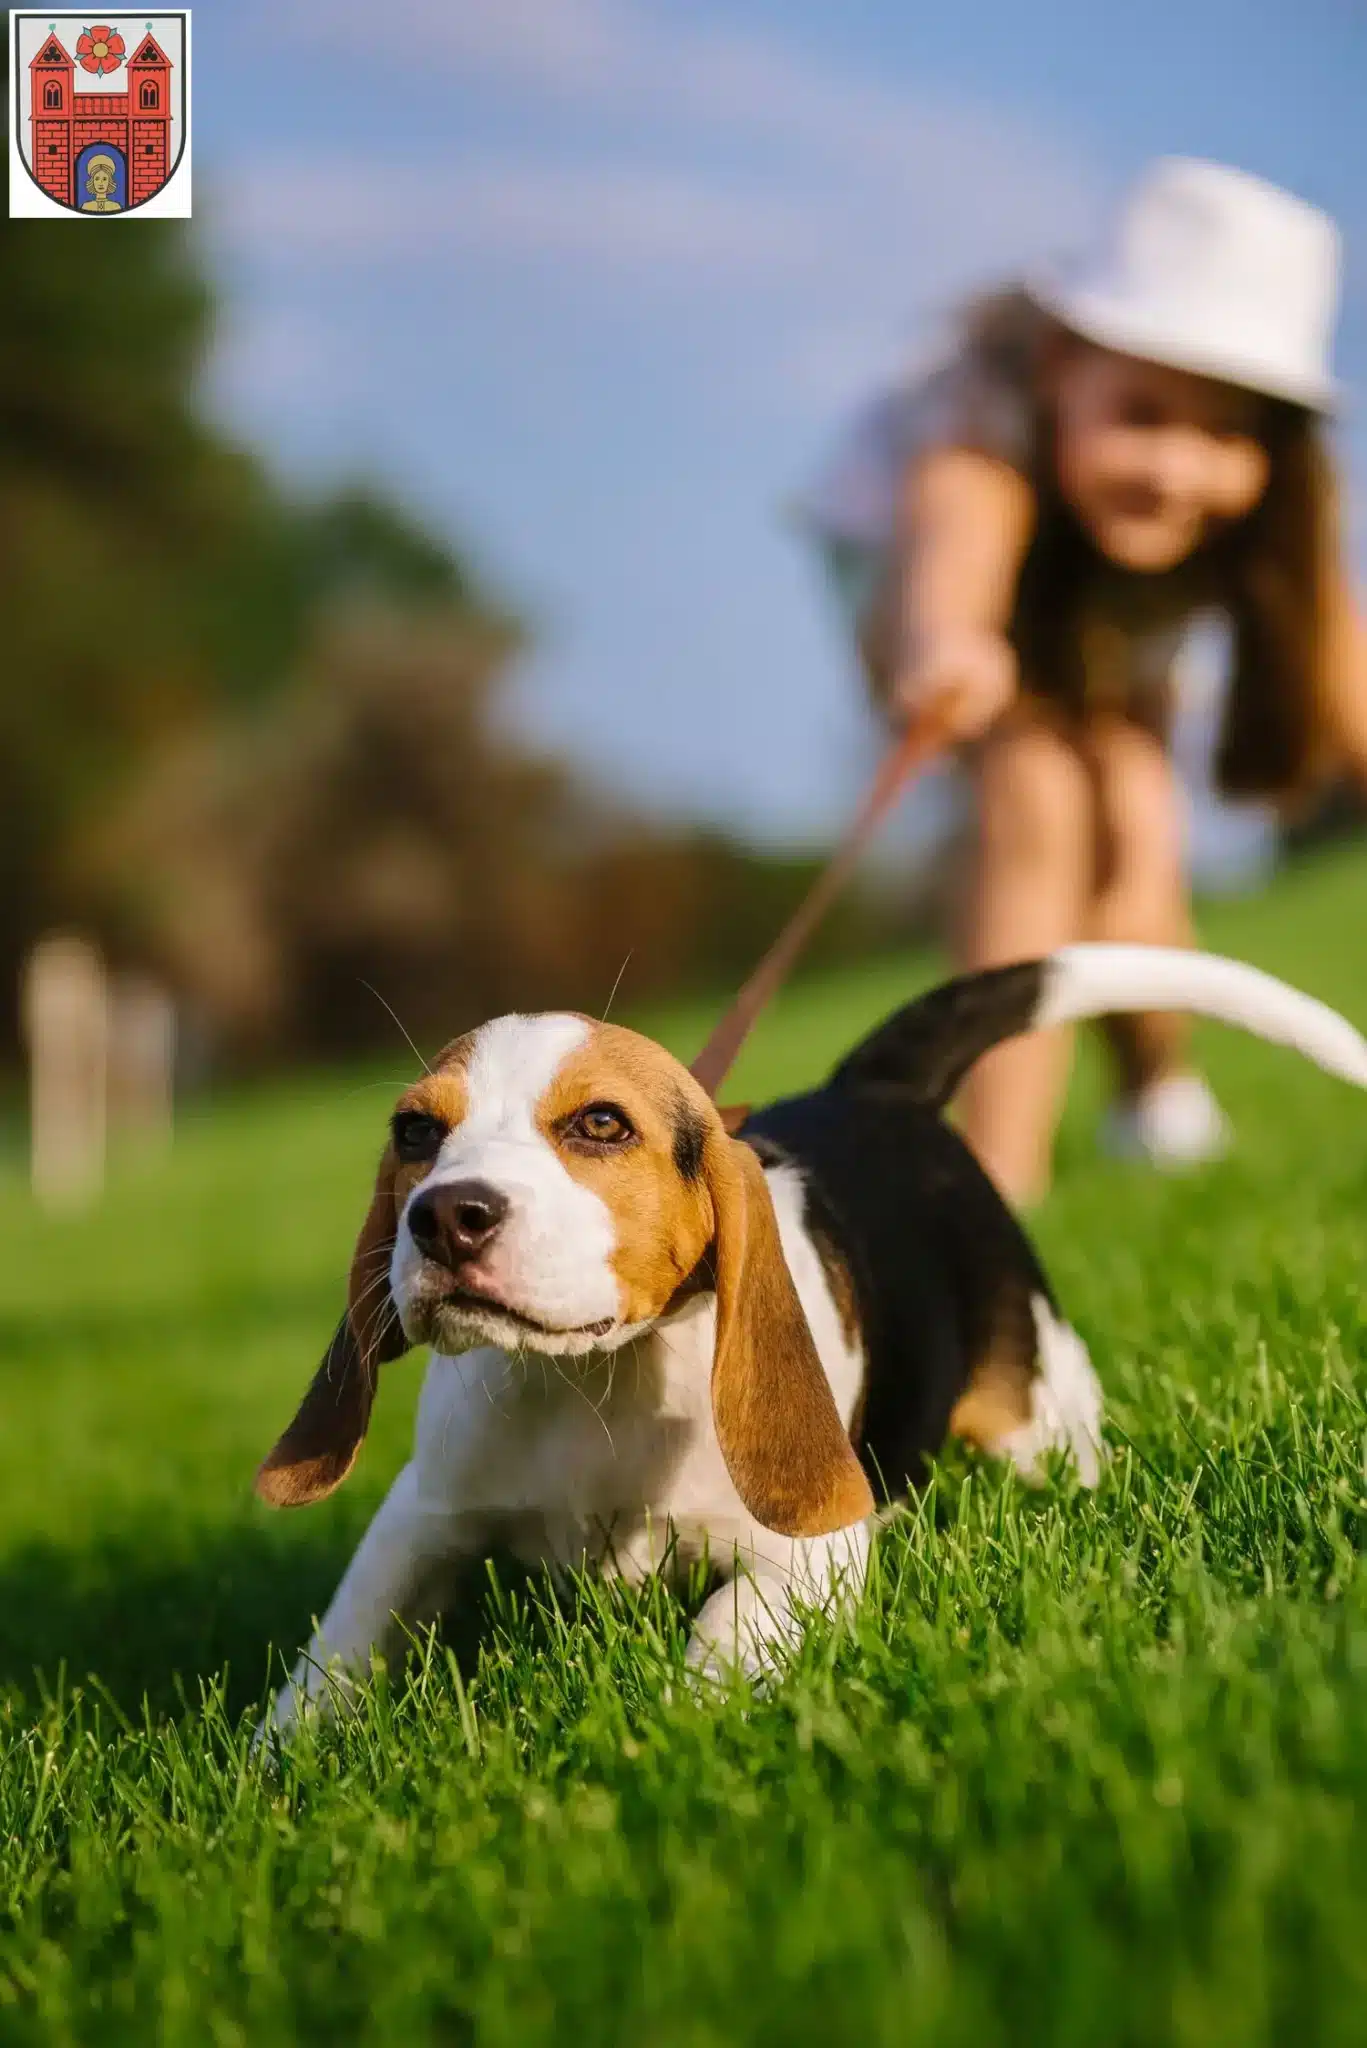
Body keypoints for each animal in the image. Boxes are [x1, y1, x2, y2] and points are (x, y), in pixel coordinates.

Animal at [256, 942, 1367, 1728]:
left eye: (601, 1125)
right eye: (415, 1132)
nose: (445, 1217)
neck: (596, 1378)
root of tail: (868, 1088)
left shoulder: (813, 1551)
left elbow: (721, 1633)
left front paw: (678, 1728)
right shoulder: (421, 1512)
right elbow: (340, 1647)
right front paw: (278, 1762)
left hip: (1039, 1412)